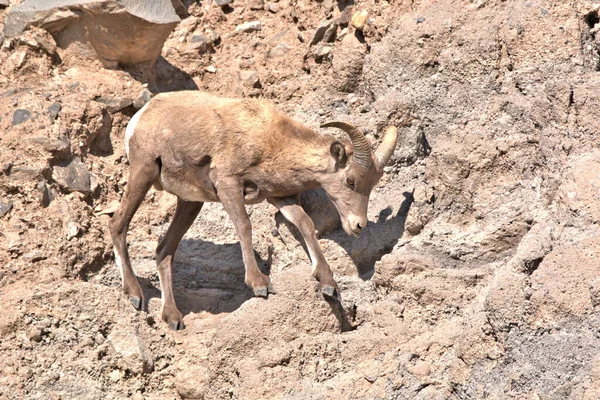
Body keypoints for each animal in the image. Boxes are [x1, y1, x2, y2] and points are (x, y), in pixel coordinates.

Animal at [109, 92, 396, 330]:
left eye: (373, 184)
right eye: (351, 180)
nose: (358, 226)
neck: (270, 141)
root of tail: (142, 114)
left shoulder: (281, 197)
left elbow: (305, 224)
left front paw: (328, 284)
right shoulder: (228, 184)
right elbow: (244, 226)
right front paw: (260, 285)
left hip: (190, 202)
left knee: (164, 251)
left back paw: (172, 318)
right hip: (144, 171)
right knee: (117, 225)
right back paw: (134, 294)